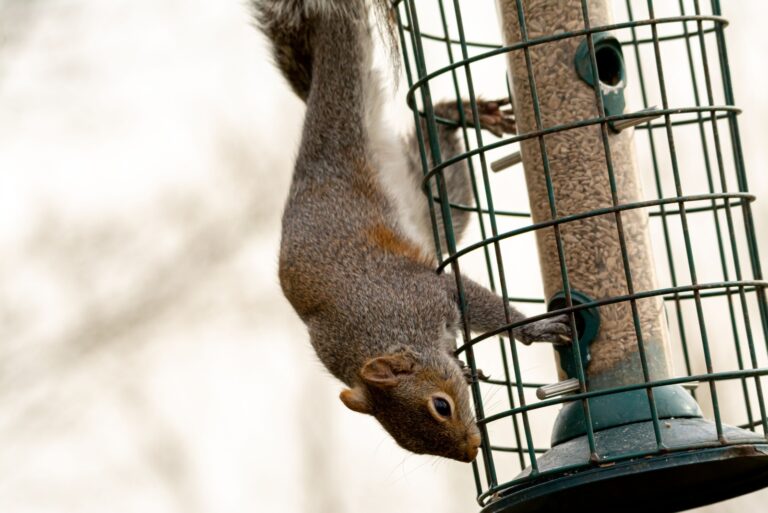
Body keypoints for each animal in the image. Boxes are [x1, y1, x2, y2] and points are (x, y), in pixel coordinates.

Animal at [254, 0, 571, 462]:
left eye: (440, 406)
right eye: (410, 445)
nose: (471, 451)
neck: (388, 333)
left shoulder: (425, 293)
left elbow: (476, 300)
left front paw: (534, 328)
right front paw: (466, 367)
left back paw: (465, 111)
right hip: (432, 200)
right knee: (436, 140)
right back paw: (456, 115)